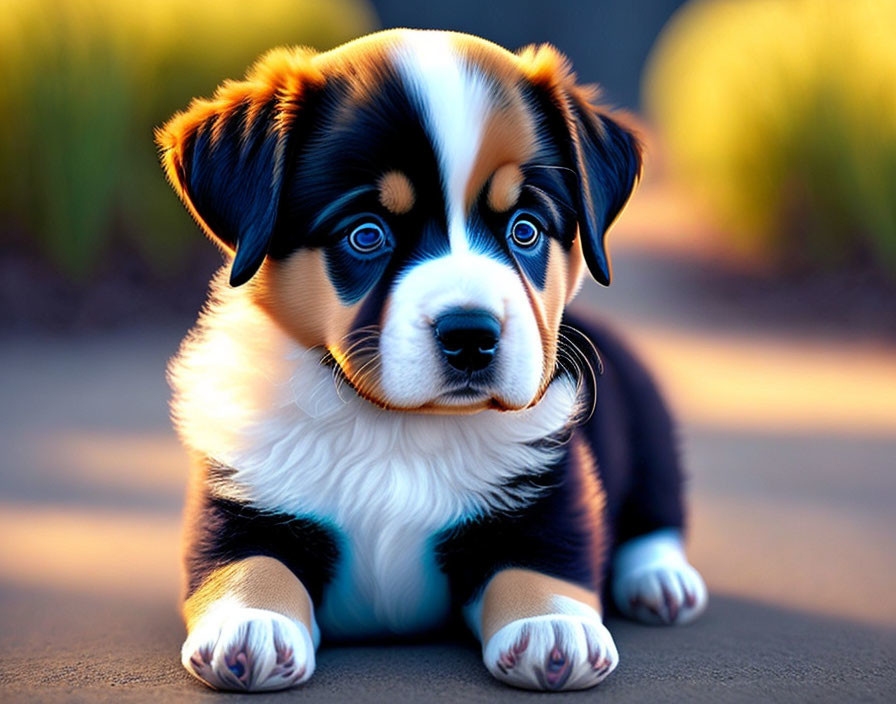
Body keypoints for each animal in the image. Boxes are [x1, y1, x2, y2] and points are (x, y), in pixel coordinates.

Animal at [156, 28, 708, 692]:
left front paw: (553, 628)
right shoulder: (241, 496)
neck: (399, 428)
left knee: (657, 512)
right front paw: (252, 623)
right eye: (366, 234)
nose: (471, 335)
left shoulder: (547, 491)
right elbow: (246, 561)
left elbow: (544, 563)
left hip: (647, 419)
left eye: (525, 230)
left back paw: (661, 580)